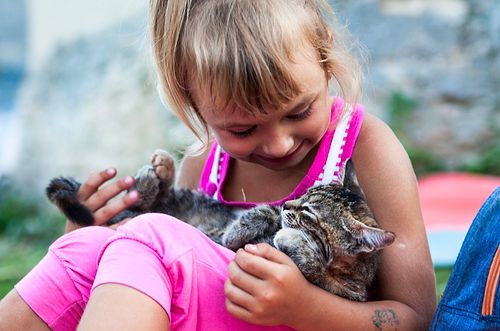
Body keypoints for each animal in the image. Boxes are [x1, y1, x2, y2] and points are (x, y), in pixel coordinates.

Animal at [48, 152, 396, 302]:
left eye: (309, 214)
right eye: (305, 194)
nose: (289, 205)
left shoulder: (341, 291)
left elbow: (310, 264)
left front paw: (297, 242)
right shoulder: (265, 211)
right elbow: (261, 213)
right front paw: (236, 231)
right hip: (186, 199)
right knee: (154, 198)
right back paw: (158, 171)